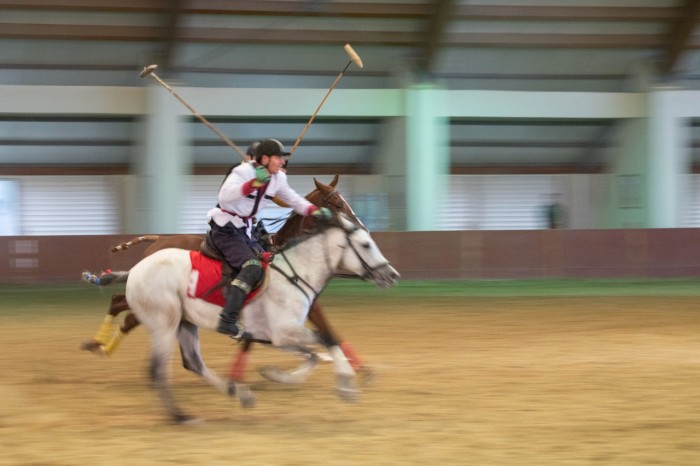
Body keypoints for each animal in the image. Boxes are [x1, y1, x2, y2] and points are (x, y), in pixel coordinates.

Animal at [80, 175, 372, 378]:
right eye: (337, 203)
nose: (362, 229)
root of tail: (157, 240)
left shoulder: (305, 306)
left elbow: (329, 332)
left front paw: (360, 368)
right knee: (121, 304)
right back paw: (100, 345)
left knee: (126, 312)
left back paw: (102, 345)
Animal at [126, 215, 400, 422]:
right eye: (365, 245)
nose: (392, 275)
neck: (297, 274)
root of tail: (134, 270)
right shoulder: (284, 331)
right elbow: (326, 339)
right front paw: (347, 385)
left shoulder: (278, 338)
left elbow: (313, 354)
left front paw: (274, 374)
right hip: (164, 323)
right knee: (157, 369)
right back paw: (181, 416)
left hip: (185, 322)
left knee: (192, 362)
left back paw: (239, 394)